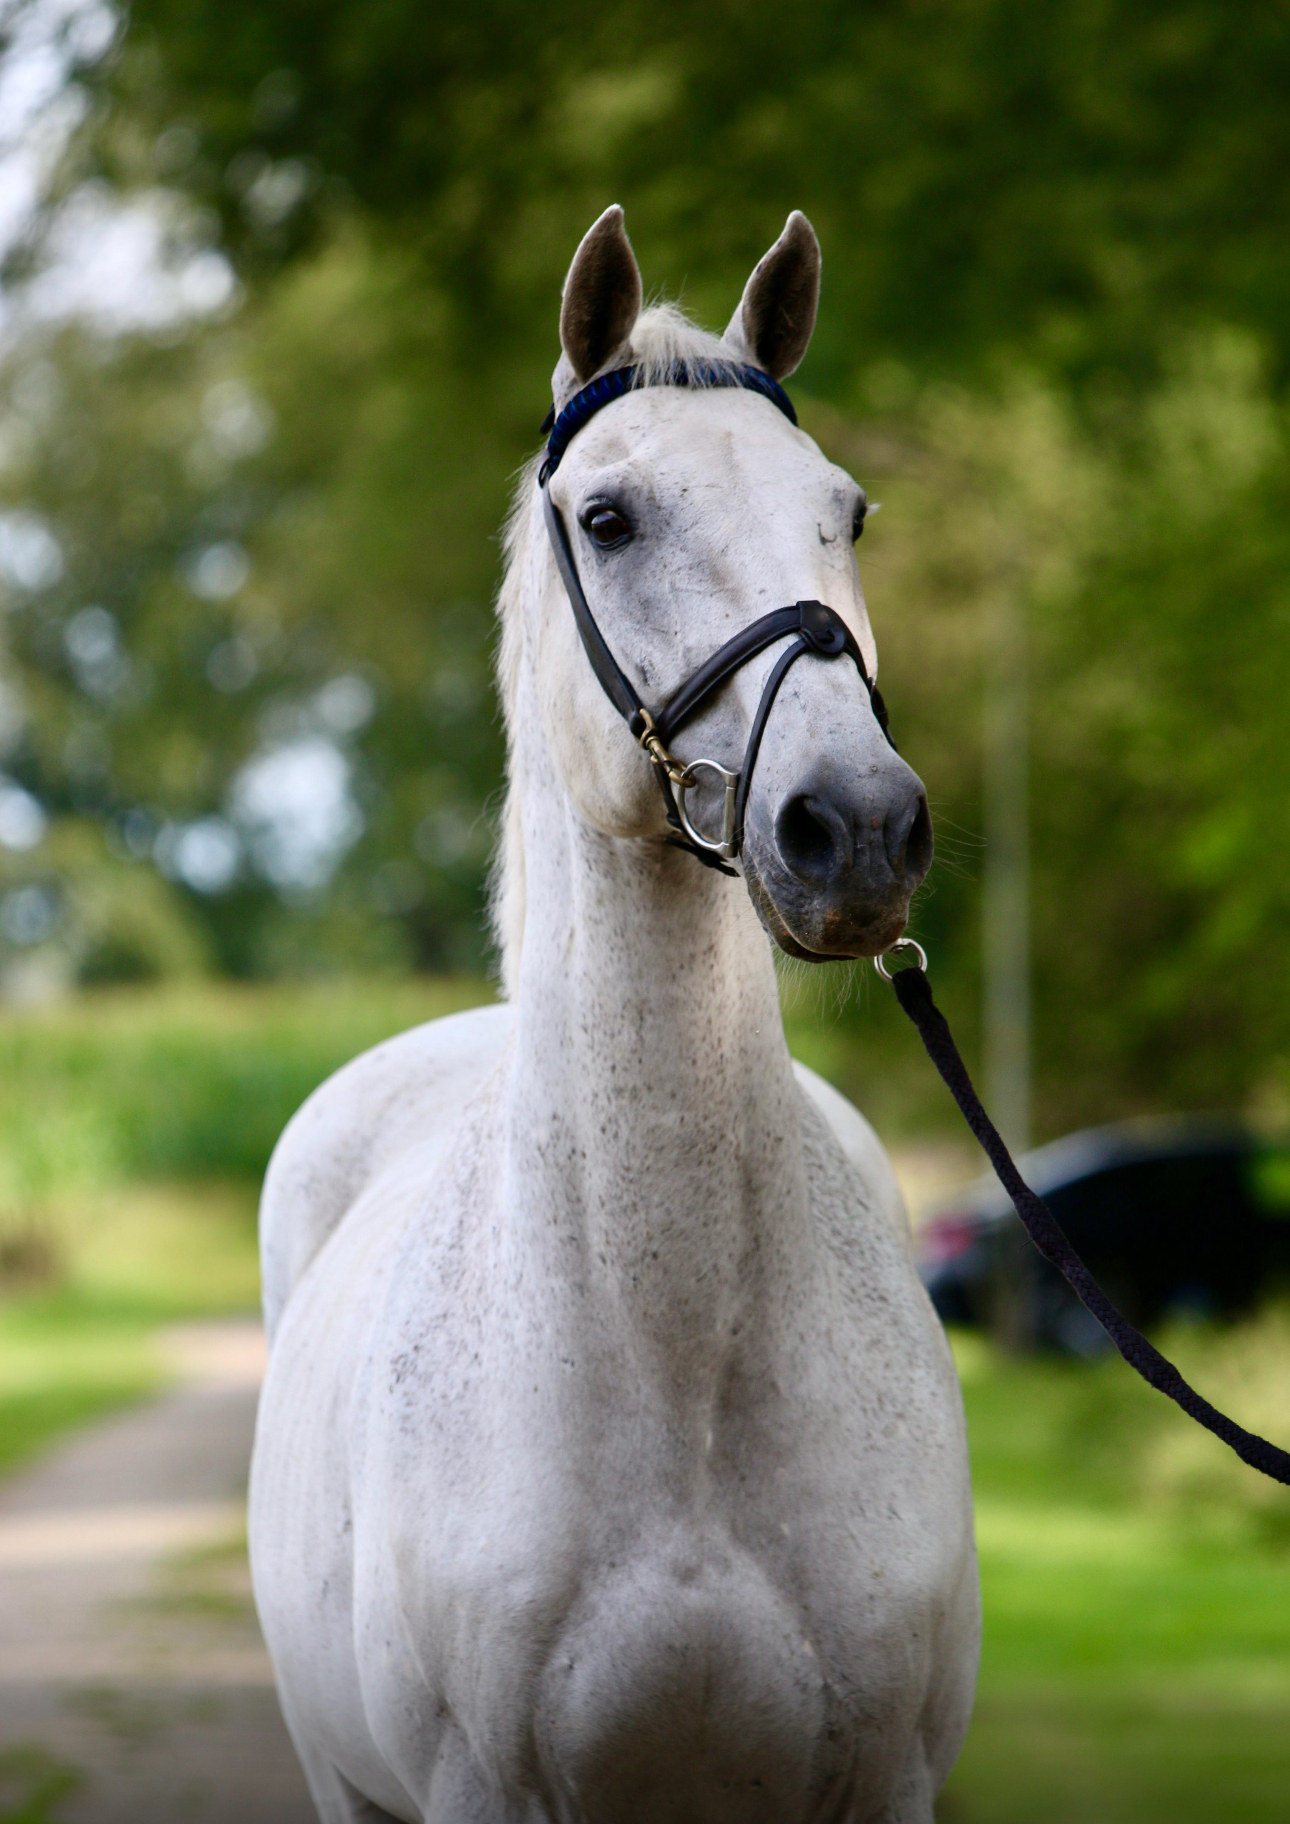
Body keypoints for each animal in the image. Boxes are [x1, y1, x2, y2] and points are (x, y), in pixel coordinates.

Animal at [249, 205, 980, 1824]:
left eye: (845, 513)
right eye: (608, 518)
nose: (857, 828)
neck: (672, 1364)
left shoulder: (886, 1786)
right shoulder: (480, 1793)